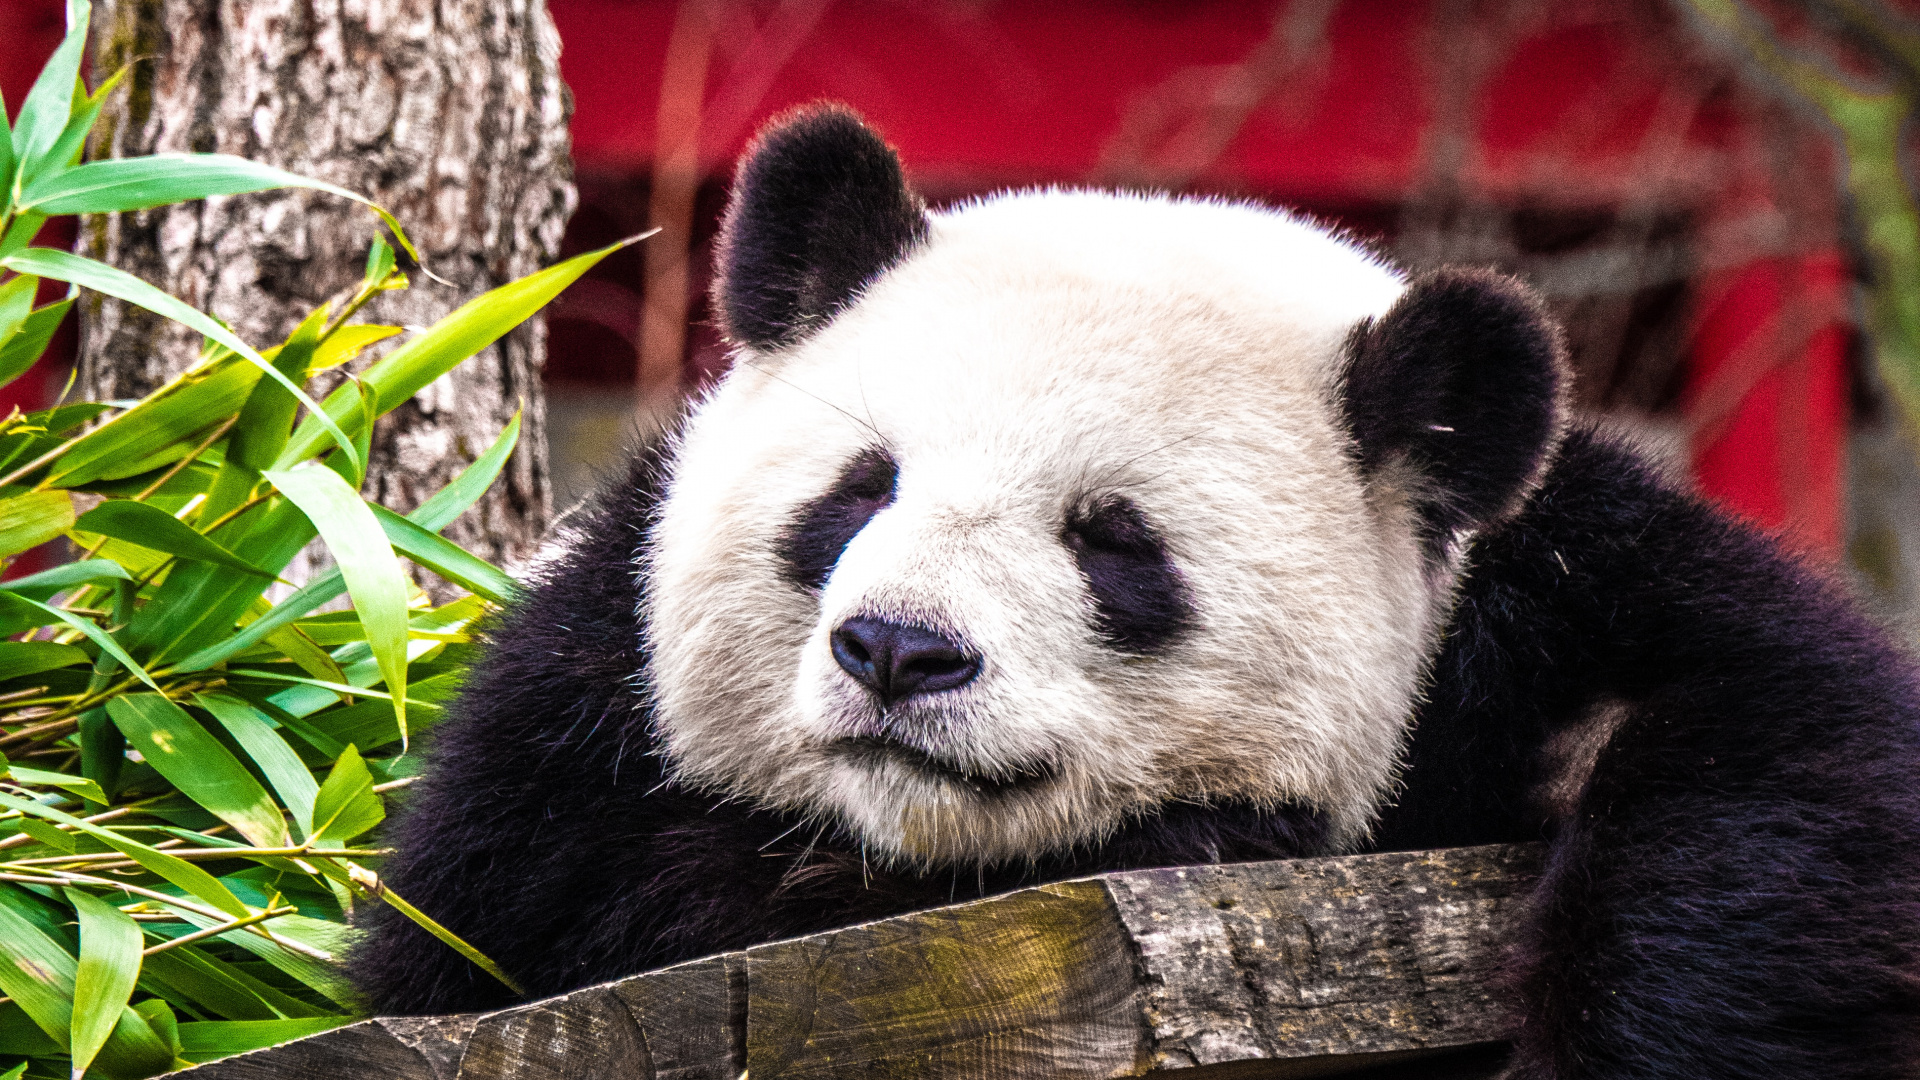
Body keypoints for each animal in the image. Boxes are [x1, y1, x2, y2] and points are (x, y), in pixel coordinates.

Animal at [349, 105, 1920, 1068]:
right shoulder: (575, 705)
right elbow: (528, 916)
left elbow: (1778, 757)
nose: (898, 652)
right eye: (861, 489)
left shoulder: (1546, 589)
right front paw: (1215, 836)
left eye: (1113, 542)